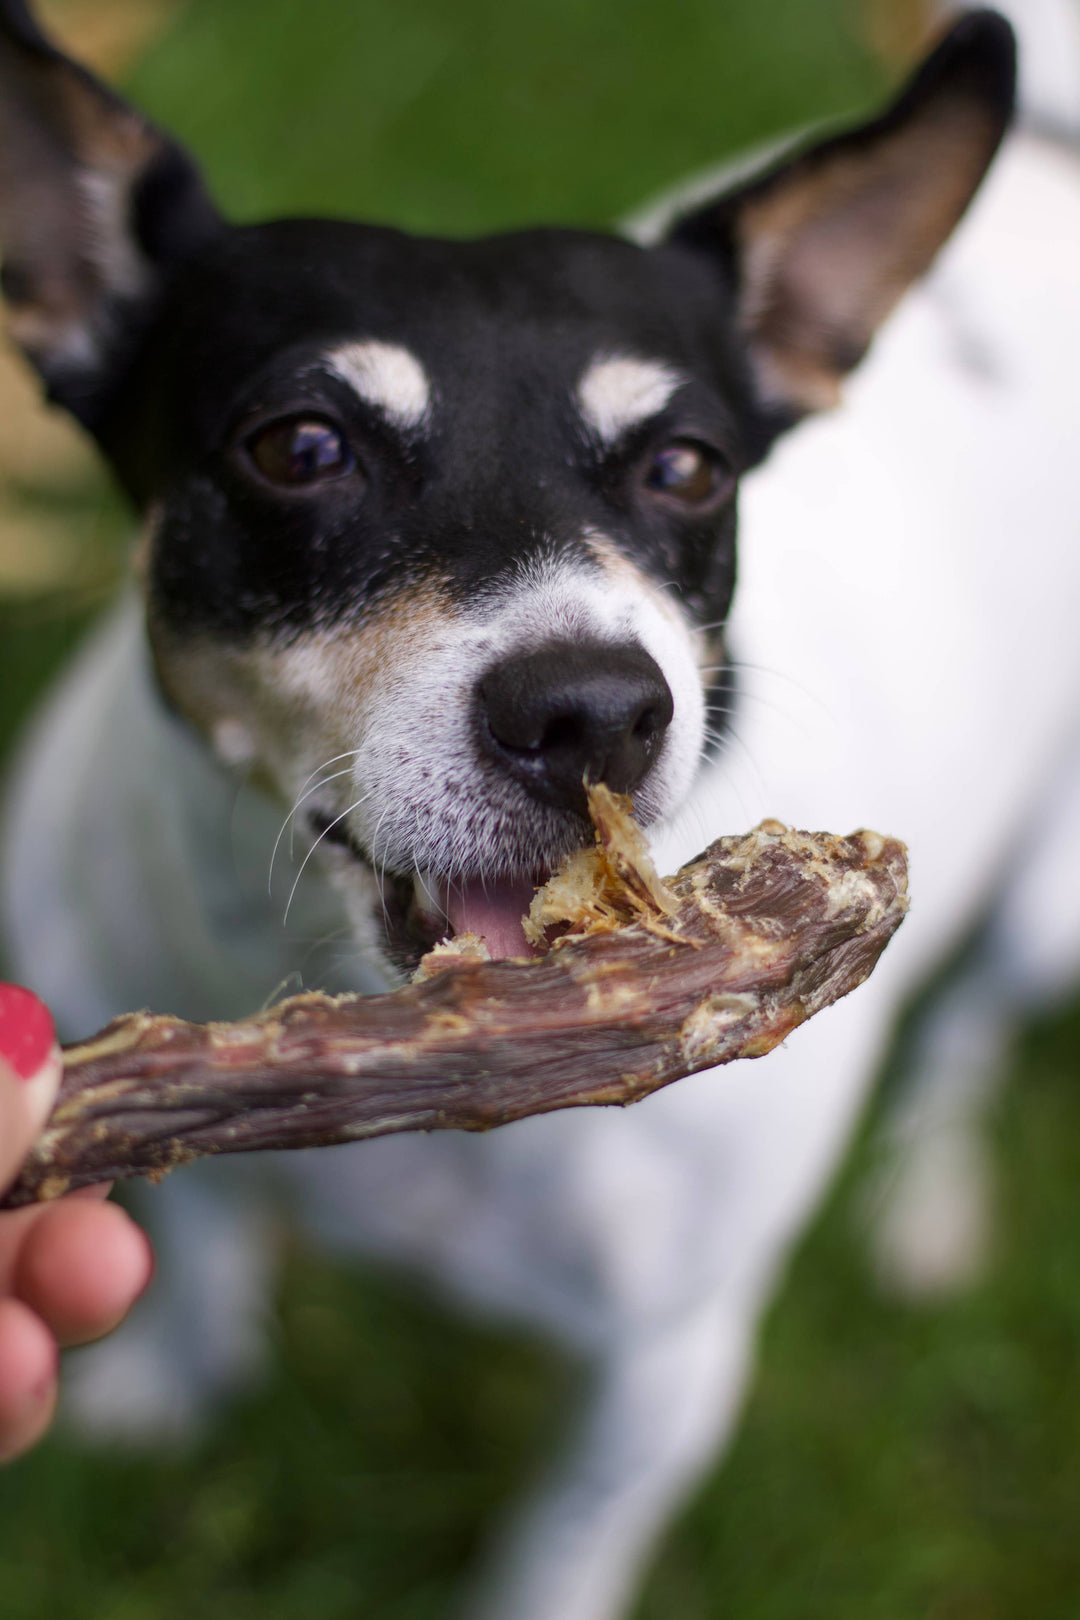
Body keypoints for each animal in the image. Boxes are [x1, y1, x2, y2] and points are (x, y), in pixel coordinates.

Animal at [2, 0, 1080, 1613]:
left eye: (688, 466)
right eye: (299, 446)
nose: (592, 714)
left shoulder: (663, 1375)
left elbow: (562, 1544)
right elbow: (197, 1224)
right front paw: (179, 1379)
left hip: (1048, 910)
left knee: (965, 1033)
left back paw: (923, 1204)